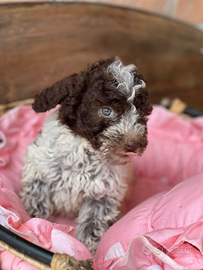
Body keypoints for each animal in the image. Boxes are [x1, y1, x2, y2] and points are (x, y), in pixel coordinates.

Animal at [20, 57, 152, 255]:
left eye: (142, 114)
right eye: (106, 111)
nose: (134, 144)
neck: (87, 152)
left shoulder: (103, 196)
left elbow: (92, 224)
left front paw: (89, 250)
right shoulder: (39, 170)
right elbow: (37, 198)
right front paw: (32, 220)